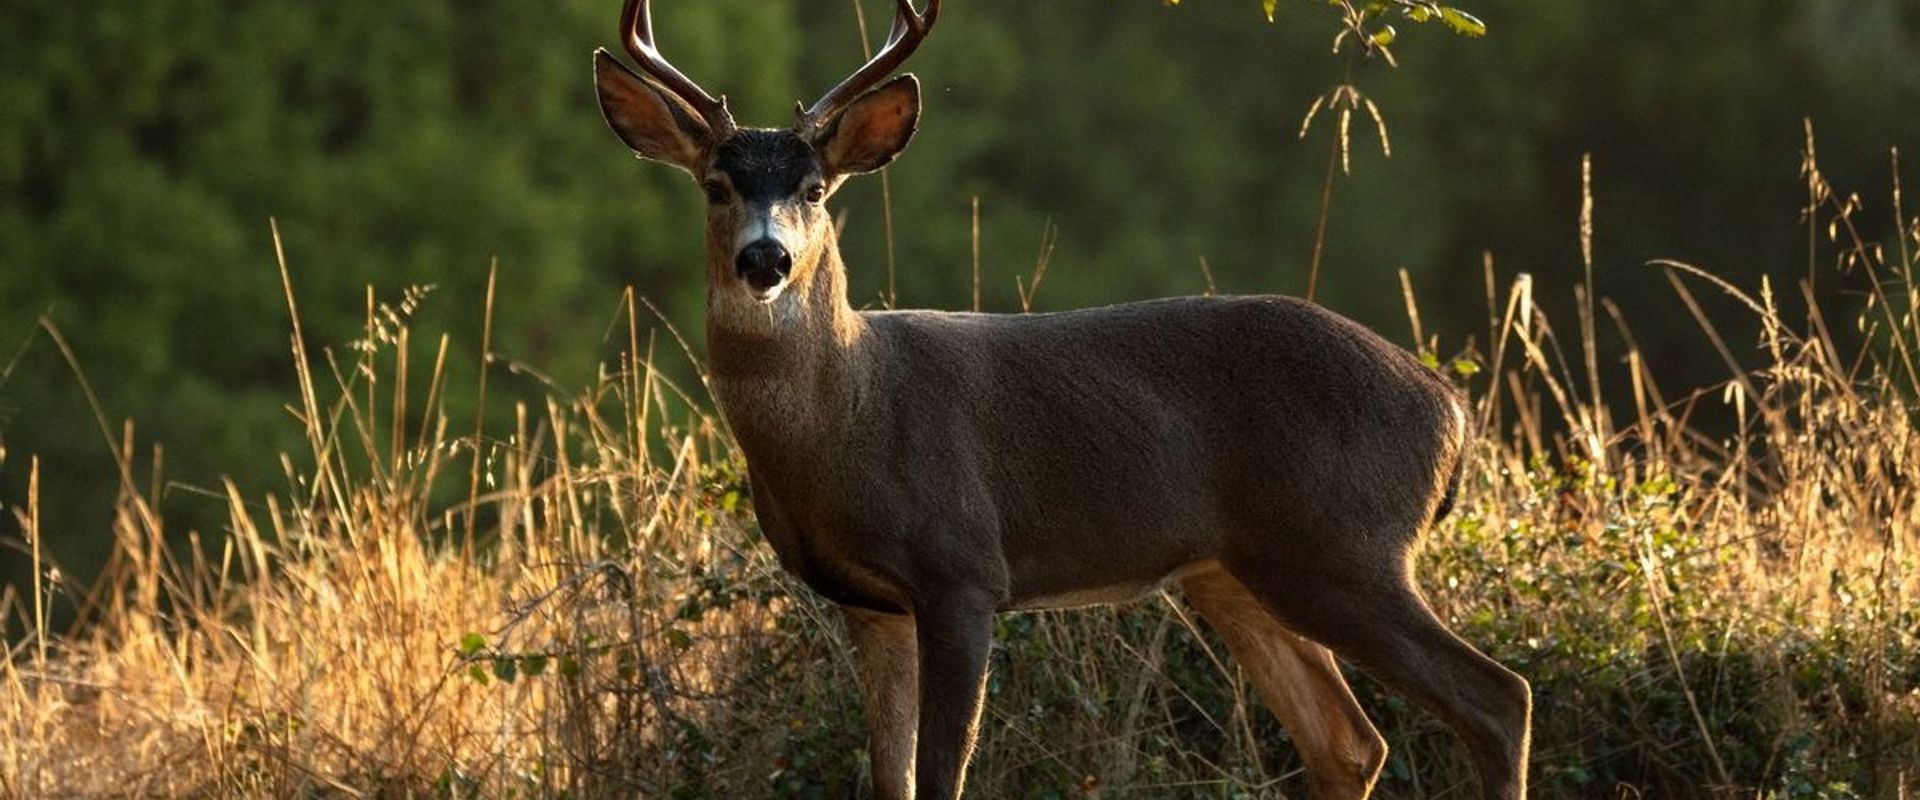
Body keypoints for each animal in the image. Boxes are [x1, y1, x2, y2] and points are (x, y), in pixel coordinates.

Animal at [591, 1, 1531, 797]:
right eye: (716, 184)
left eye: (816, 189)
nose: (766, 258)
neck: (851, 412)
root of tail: (1450, 408)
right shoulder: (870, 605)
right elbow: (892, 779)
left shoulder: (964, 569)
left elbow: (944, 774)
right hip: (1238, 573)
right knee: (1349, 742)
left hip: (1345, 544)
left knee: (1498, 698)